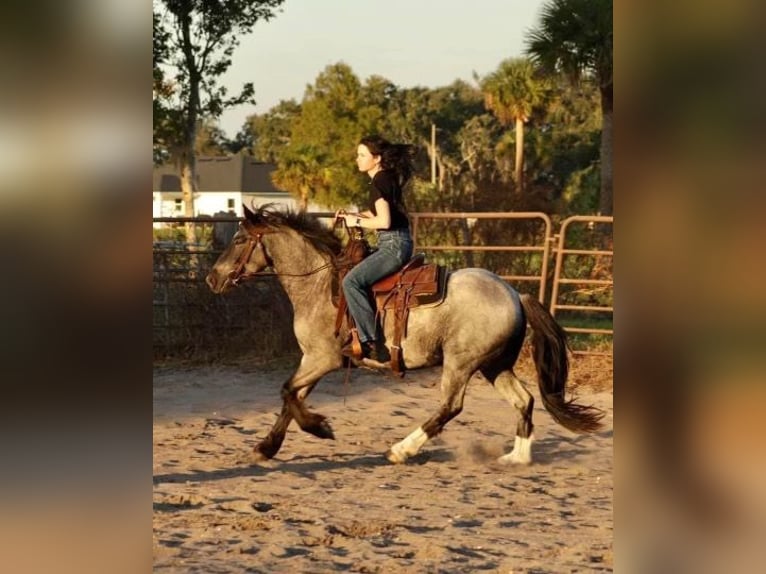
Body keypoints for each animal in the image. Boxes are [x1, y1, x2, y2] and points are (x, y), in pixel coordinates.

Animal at [206, 207, 608, 468]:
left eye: (239, 238)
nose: (212, 278)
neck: (319, 285)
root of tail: (514, 293)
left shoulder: (324, 358)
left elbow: (288, 392)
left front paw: (321, 428)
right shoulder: (312, 360)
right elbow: (292, 398)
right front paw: (265, 448)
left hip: (461, 364)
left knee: (450, 407)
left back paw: (400, 450)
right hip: (494, 365)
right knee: (523, 401)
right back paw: (516, 457)